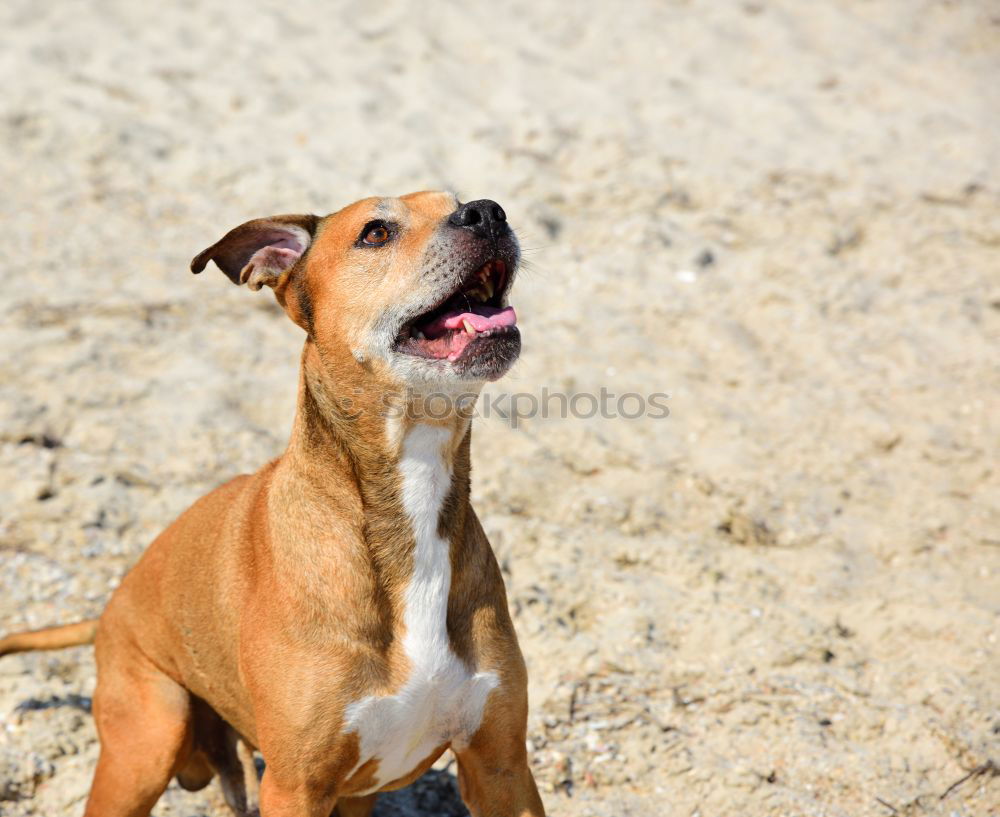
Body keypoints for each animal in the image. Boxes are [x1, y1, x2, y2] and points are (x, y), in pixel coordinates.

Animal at [1, 193, 548, 816]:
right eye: (375, 233)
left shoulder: (501, 767)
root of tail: (108, 613)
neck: (411, 496)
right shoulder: (295, 786)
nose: (488, 212)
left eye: (458, 201)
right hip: (145, 745)